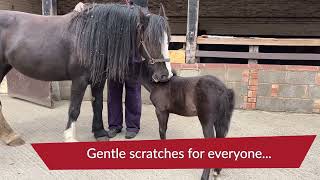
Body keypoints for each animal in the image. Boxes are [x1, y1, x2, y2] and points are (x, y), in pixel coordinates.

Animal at [0, 3, 172, 146]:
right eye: (149, 39)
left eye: (168, 40)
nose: (166, 75)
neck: (90, 37)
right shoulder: (79, 80)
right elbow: (74, 108)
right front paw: (70, 137)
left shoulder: (98, 80)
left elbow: (98, 105)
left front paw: (100, 133)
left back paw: (10, 136)